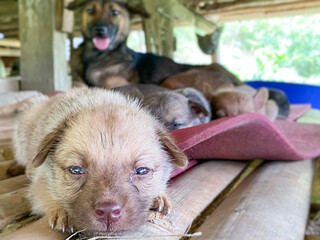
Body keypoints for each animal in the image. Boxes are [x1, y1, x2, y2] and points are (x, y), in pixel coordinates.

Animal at [13, 88, 188, 236]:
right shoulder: (39, 182)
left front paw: (160, 197)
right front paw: (60, 211)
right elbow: (45, 193)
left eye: (142, 171)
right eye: (76, 170)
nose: (108, 213)